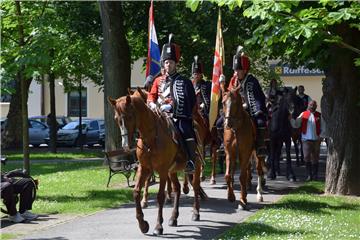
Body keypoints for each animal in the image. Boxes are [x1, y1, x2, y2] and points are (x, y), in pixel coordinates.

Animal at [107, 88, 202, 234]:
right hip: (172, 170)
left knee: (196, 186)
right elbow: (136, 192)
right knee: (177, 188)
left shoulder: (162, 170)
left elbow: (160, 196)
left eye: (129, 116)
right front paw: (143, 224)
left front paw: (158, 226)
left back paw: (196, 212)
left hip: (195, 166)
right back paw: (173, 218)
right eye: (116, 119)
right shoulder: (144, 168)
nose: (125, 145)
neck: (151, 138)